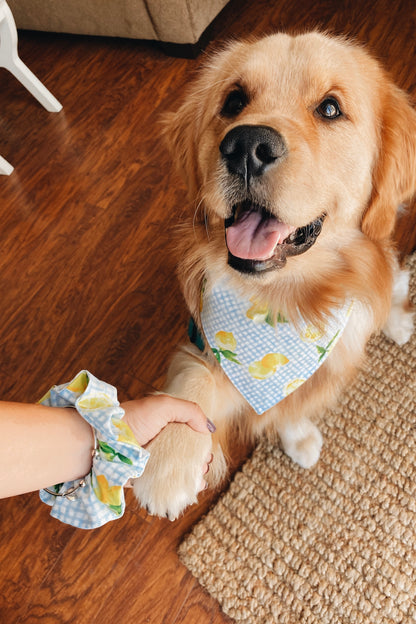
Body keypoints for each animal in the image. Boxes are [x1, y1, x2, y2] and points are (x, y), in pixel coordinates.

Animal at [134, 30, 416, 516]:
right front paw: (170, 459)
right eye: (233, 101)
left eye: (330, 108)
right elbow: (194, 383)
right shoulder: (207, 344)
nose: (246, 146)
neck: (285, 301)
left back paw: (398, 323)